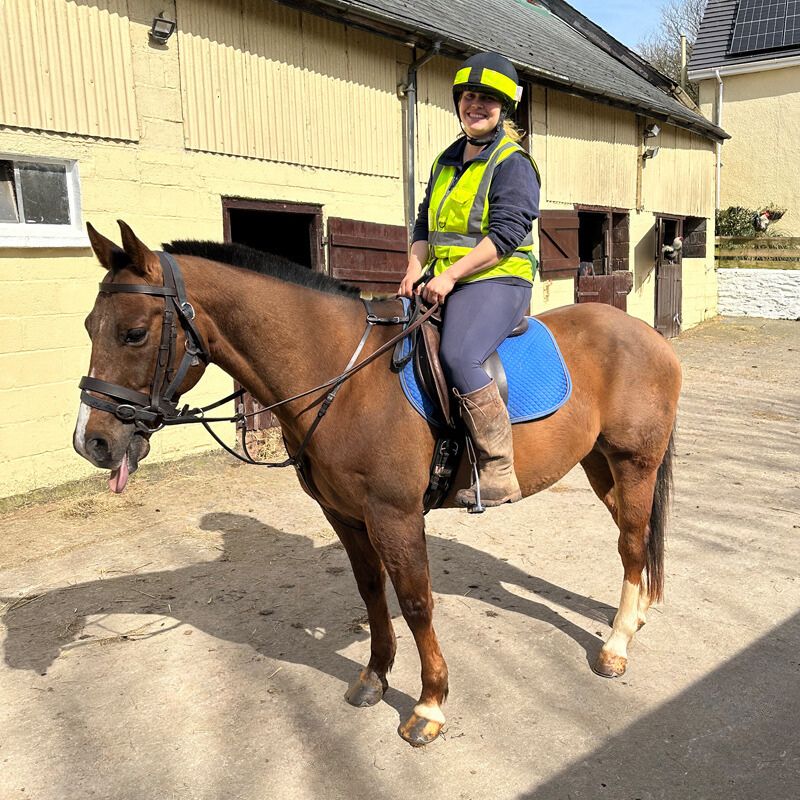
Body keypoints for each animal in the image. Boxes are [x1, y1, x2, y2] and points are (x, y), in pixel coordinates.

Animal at [74, 221, 681, 747]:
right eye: (88, 327)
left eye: (134, 333)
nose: (92, 442)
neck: (343, 377)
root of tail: (649, 336)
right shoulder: (345, 515)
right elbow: (371, 592)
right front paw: (375, 677)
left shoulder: (395, 514)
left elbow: (414, 602)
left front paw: (429, 704)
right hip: (600, 465)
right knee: (632, 538)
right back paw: (635, 616)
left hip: (634, 462)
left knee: (631, 541)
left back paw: (616, 646)